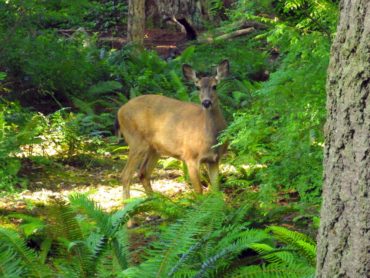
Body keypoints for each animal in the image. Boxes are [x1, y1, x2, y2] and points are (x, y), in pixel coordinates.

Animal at [117, 59, 230, 199]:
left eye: (215, 86)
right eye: (197, 87)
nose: (206, 103)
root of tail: (120, 110)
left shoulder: (215, 159)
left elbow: (216, 190)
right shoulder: (190, 156)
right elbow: (199, 191)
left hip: (155, 149)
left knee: (143, 173)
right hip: (136, 141)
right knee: (125, 174)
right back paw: (127, 202)